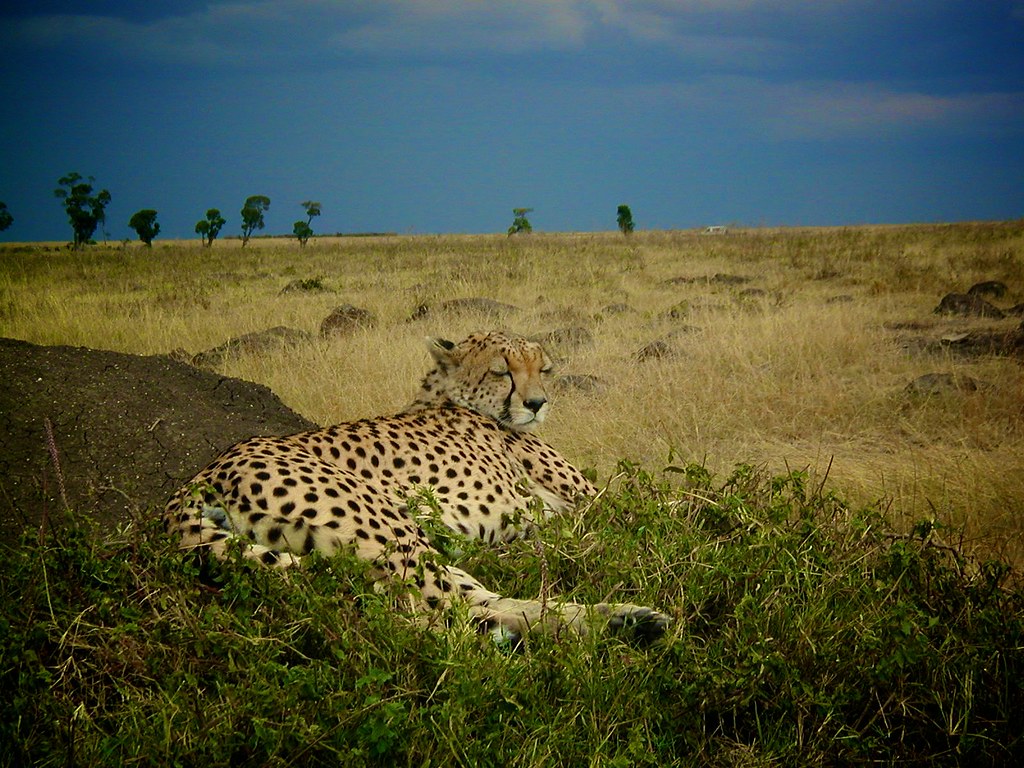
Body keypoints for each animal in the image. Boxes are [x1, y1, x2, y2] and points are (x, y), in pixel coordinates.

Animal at [163, 331, 667, 643]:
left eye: (542, 370)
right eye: (502, 371)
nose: (538, 403)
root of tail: (205, 473)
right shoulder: (585, 502)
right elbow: (660, 509)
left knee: (475, 602)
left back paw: (623, 620)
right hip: (394, 534)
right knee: (441, 626)